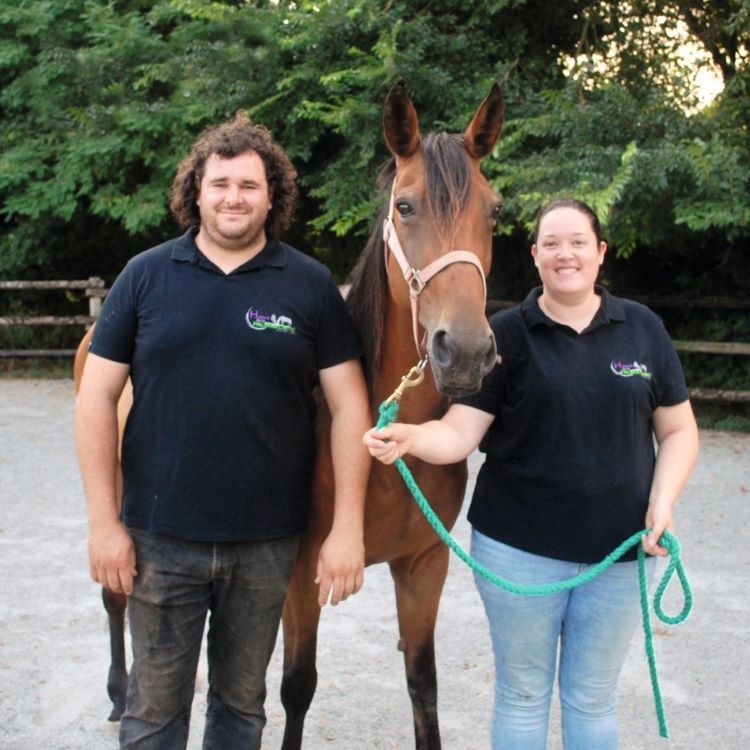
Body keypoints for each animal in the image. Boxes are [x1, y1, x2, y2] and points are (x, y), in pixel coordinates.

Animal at [279, 79, 504, 750]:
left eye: (494, 212)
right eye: (405, 207)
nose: (467, 352)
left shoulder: (423, 566)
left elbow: (423, 687)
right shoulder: (297, 573)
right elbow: (297, 686)